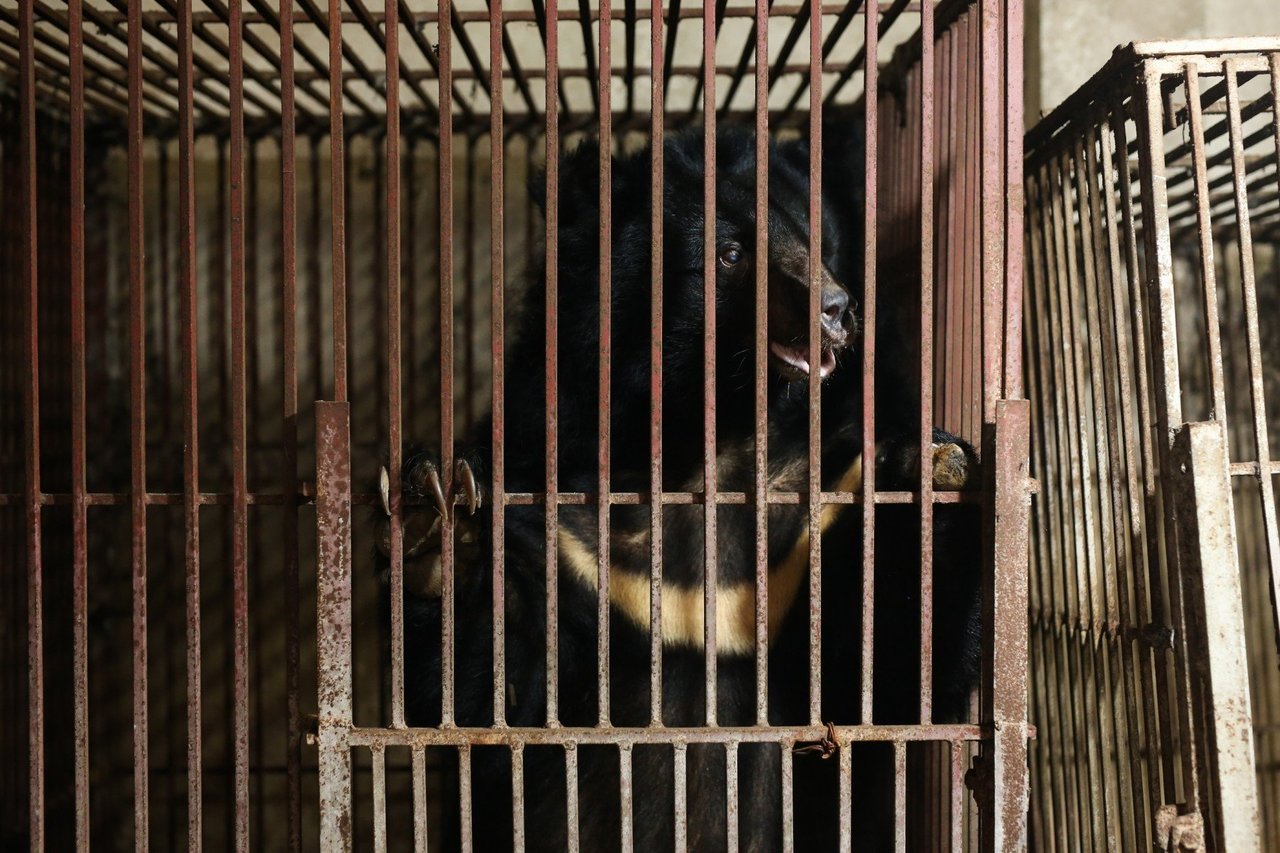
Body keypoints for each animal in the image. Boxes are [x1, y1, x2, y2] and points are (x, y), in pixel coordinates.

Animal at [373, 119, 983, 850]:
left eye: (818, 240)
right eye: (729, 253)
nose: (835, 309)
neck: (703, 439)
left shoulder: (815, 513)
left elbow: (888, 677)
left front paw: (932, 467)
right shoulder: (558, 518)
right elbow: (486, 704)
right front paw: (445, 512)